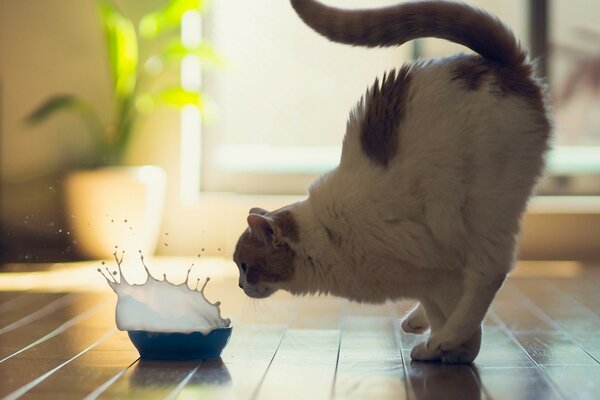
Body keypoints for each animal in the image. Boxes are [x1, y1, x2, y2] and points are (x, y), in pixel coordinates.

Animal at [232, 0, 552, 364]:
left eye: (245, 266)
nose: (240, 286)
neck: (327, 236)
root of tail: (506, 65)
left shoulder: (441, 265)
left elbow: (458, 309)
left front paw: (451, 346)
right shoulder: (429, 278)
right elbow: (438, 306)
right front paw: (447, 345)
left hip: (480, 211)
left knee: (490, 273)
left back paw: (443, 338)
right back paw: (419, 324)